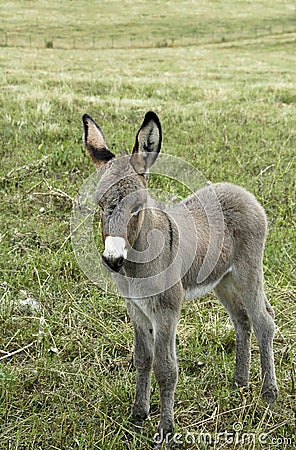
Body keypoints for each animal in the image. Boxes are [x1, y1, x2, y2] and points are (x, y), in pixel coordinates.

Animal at [81, 111, 278, 442]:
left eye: (137, 208)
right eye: (99, 205)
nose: (112, 260)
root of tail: (242, 192)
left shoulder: (166, 311)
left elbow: (165, 368)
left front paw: (165, 429)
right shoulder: (136, 309)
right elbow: (142, 359)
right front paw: (138, 413)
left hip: (248, 273)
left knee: (264, 322)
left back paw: (269, 393)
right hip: (223, 281)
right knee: (243, 321)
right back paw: (239, 382)